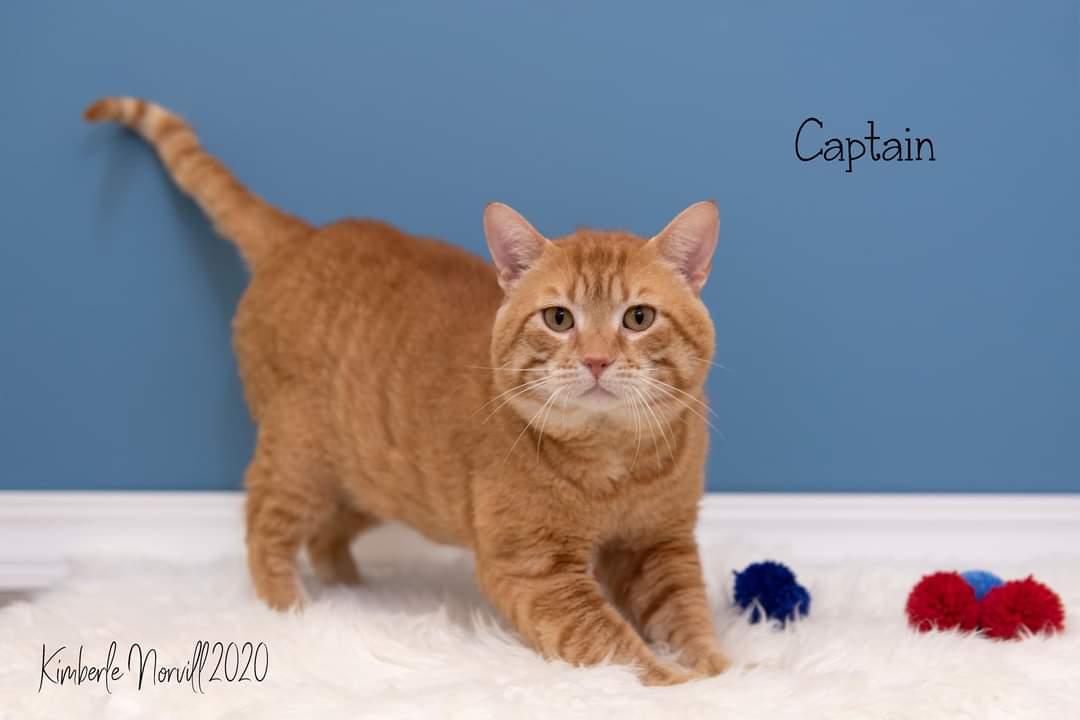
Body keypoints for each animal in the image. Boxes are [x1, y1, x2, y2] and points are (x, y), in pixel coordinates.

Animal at [84, 96, 730, 686]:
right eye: (559, 319)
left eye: (638, 318)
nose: (596, 359)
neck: (616, 465)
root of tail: (304, 235)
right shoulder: (536, 570)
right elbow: (614, 644)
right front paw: (678, 684)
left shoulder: (661, 546)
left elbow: (688, 617)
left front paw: (721, 671)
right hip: (299, 464)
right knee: (264, 524)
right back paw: (293, 612)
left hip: (375, 483)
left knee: (325, 538)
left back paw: (353, 591)